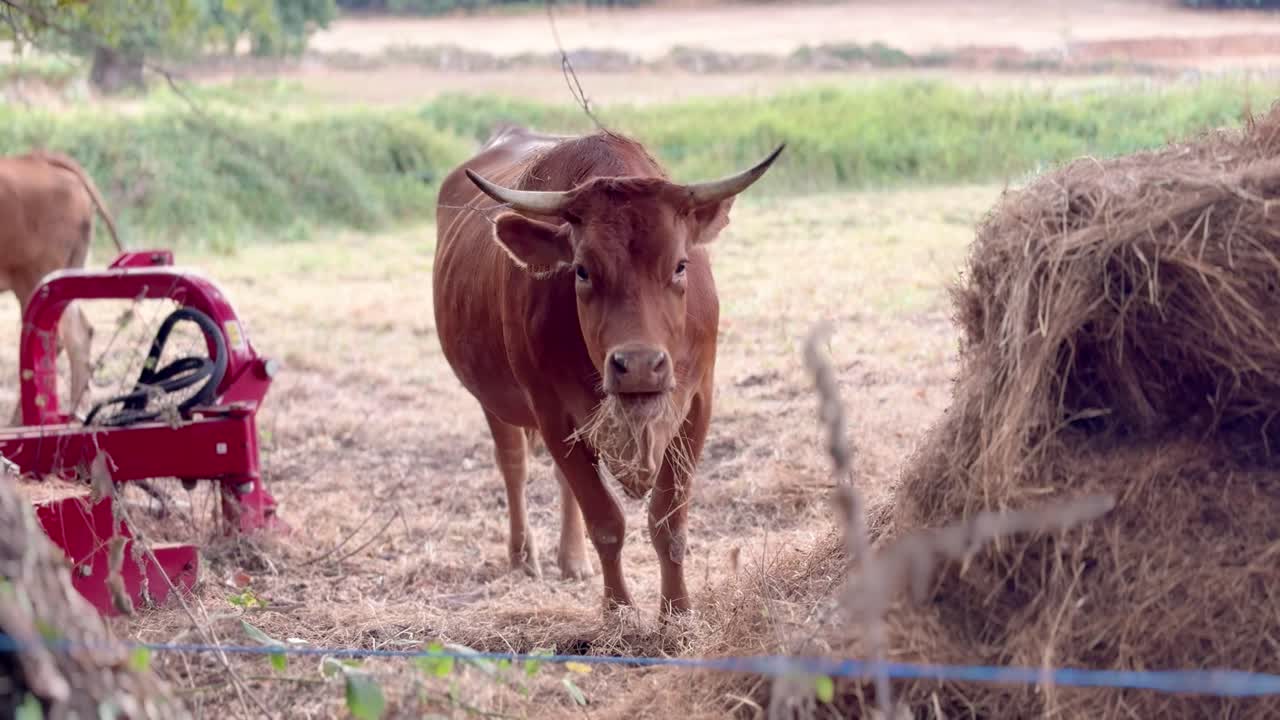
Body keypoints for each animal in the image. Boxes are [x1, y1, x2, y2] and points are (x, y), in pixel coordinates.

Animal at [433, 125, 783, 617]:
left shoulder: (697, 403)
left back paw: (572, 560)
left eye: (680, 265)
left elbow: (668, 521)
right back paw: (523, 557)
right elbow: (605, 521)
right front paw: (618, 612)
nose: (638, 366)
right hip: (493, 400)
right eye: (581, 270)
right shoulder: (553, 414)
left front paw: (676, 612)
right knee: (514, 465)